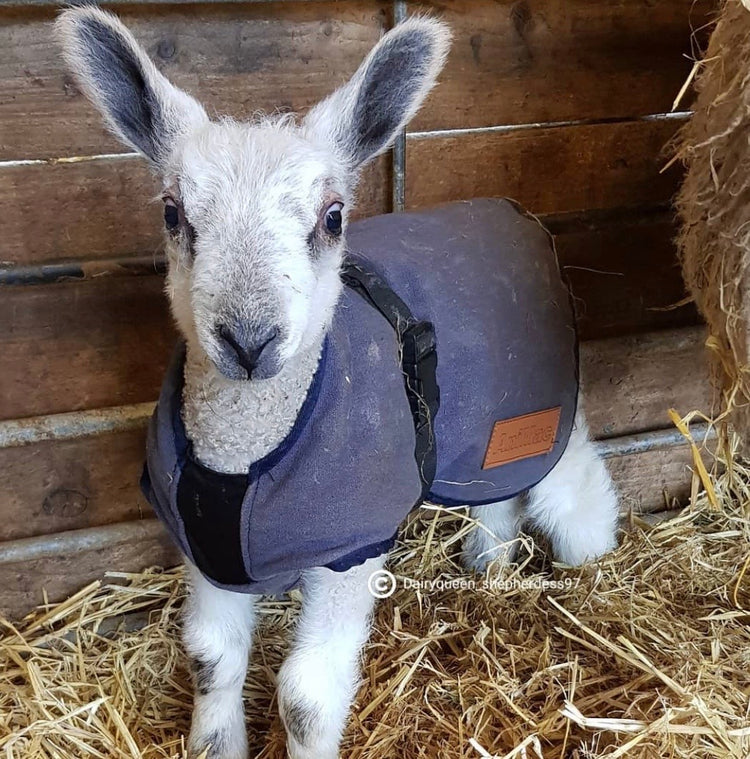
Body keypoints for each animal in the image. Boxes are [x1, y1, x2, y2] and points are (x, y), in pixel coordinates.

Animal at [56, 8, 619, 759]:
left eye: (332, 218)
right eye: (173, 213)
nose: (249, 339)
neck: (242, 453)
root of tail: (513, 211)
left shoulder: (349, 548)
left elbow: (305, 699)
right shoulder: (204, 548)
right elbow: (210, 658)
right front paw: (216, 741)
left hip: (545, 402)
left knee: (573, 485)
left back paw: (594, 568)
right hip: (482, 432)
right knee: (497, 493)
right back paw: (488, 563)